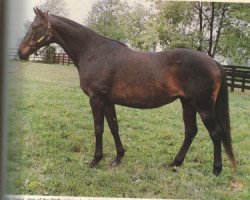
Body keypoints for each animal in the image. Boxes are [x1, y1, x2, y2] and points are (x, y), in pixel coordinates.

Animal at [18, 7, 236, 175]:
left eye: (35, 27)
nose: (21, 53)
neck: (94, 52)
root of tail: (213, 61)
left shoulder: (96, 98)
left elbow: (99, 128)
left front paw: (95, 160)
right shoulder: (107, 101)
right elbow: (114, 127)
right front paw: (118, 158)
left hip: (203, 106)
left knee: (215, 133)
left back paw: (216, 170)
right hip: (187, 103)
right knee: (191, 131)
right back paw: (175, 163)